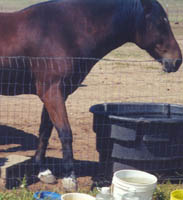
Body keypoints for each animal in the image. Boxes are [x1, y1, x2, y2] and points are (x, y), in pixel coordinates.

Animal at [0, 0, 182, 191]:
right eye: (160, 22)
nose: (177, 60)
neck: (63, 31)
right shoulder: (52, 93)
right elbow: (65, 132)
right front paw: (69, 178)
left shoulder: (54, 95)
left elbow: (45, 130)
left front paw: (43, 171)